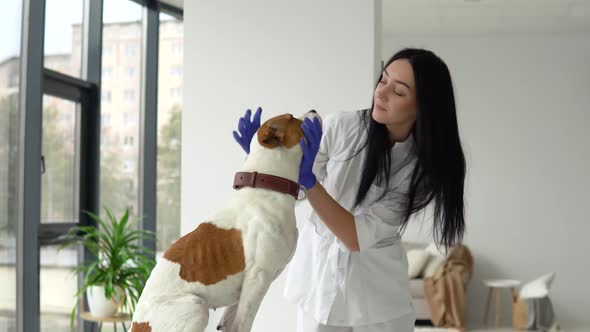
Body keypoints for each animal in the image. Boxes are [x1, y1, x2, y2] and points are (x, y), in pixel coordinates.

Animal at [132, 111, 324, 332]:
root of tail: (137, 324)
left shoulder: (246, 288)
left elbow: (232, 323)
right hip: (196, 306)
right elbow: (243, 324)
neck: (267, 188)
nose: (313, 110)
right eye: (291, 117)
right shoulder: (257, 278)